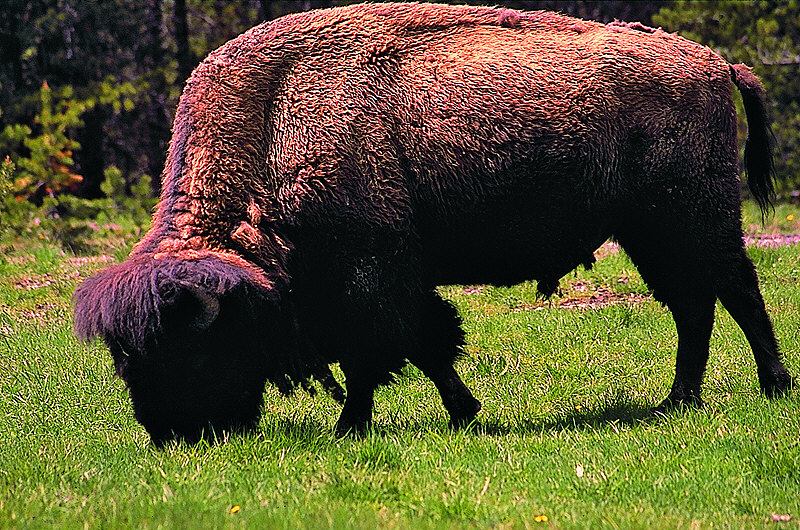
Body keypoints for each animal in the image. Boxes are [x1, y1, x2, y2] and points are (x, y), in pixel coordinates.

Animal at [73, 2, 792, 444]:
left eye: (189, 349)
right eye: (124, 358)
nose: (169, 434)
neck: (273, 119)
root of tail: (714, 62)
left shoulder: (370, 278)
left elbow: (386, 352)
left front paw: (355, 427)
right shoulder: (393, 280)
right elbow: (425, 345)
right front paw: (463, 413)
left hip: (690, 219)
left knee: (737, 291)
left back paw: (771, 388)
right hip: (654, 232)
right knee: (695, 303)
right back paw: (679, 400)